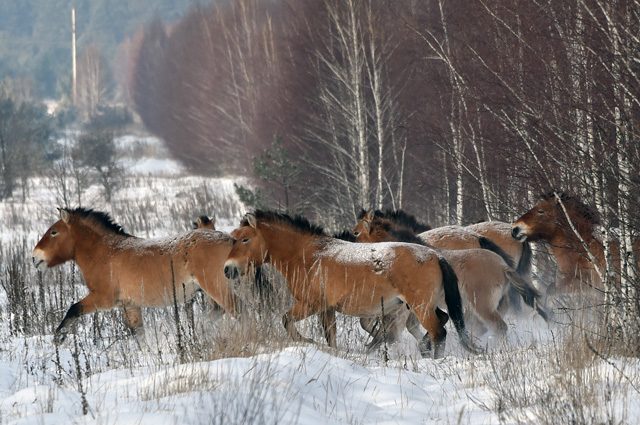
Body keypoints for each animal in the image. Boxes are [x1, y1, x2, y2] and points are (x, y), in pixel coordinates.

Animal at [32, 207, 242, 344]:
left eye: (53, 232)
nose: (35, 257)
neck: (105, 253)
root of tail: (231, 240)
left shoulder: (102, 298)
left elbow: (73, 309)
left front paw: (59, 337)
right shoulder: (130, 306)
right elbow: (139, 334)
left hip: (216, 288)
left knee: (238, 311)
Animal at [223, 210, 482, 358]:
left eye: (245, 239)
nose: (228, 269)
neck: (308, 256)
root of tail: (435, 256)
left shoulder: (310, 305)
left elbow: (286, 320)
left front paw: (307, 342)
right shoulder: (327, 309)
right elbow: (330, 335)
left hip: (420, 307)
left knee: (439, 331)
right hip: (424, 306)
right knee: (443, 321)